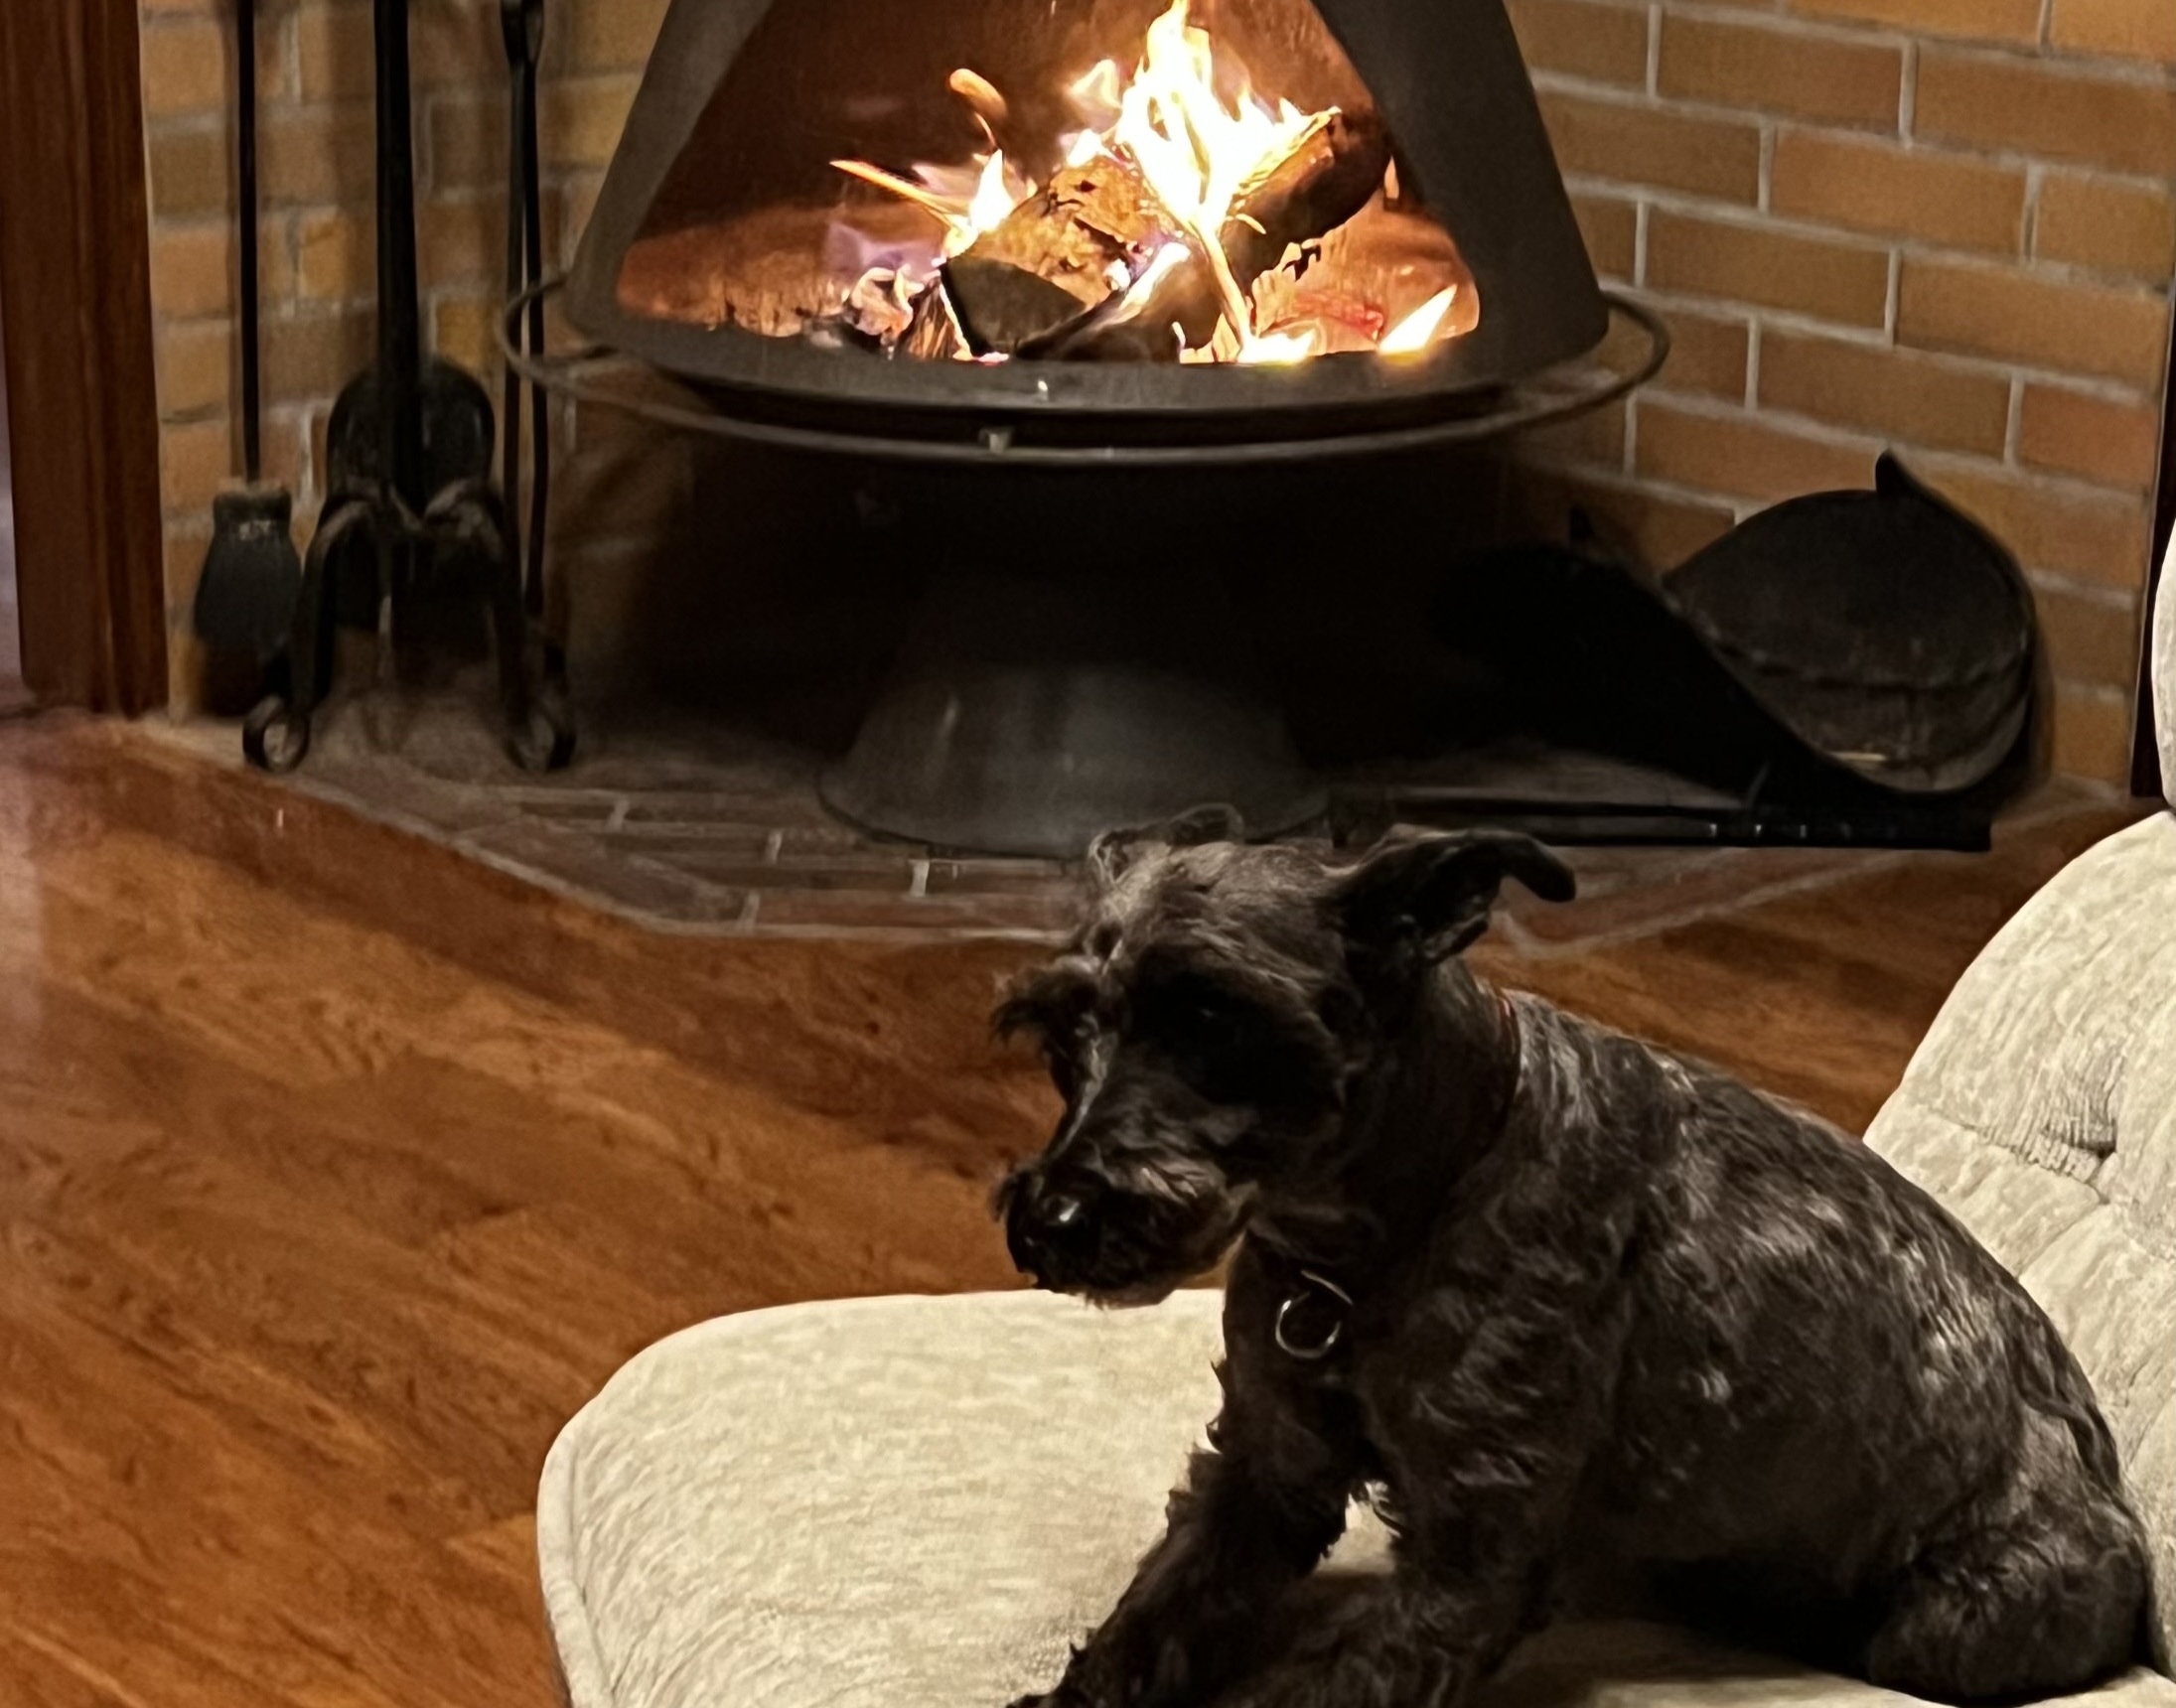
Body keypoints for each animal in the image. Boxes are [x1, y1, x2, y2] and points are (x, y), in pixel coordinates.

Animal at [996, 813, 2149, 1705]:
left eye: (1216, 1022)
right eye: (1061, 1039)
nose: (1048, 1219)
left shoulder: (1471, 1560)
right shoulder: (1263, 1474)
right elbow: (1148, 1623)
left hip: (1949, 1624)